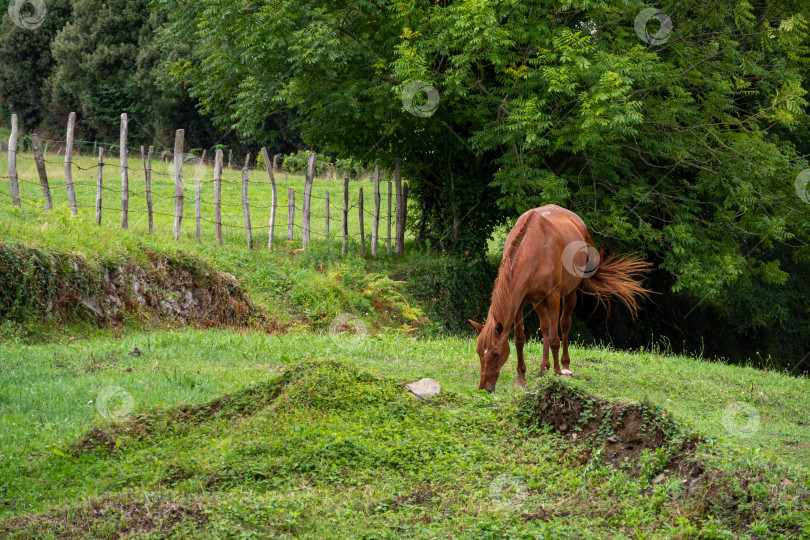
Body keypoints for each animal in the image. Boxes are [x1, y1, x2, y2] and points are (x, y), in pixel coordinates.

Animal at [468, 205, 652, 394]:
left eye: (496, 354)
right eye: (478, 352)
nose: (484, 388)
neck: (532, 250)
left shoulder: (554, 298)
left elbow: (555, 338)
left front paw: (557, 374)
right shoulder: (519, 302)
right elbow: (520, 339)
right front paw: (521, 378)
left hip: (570, 294)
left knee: (563, 325)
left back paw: (565, 367)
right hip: (538, 302)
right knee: (545, 328)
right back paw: (543, 369)